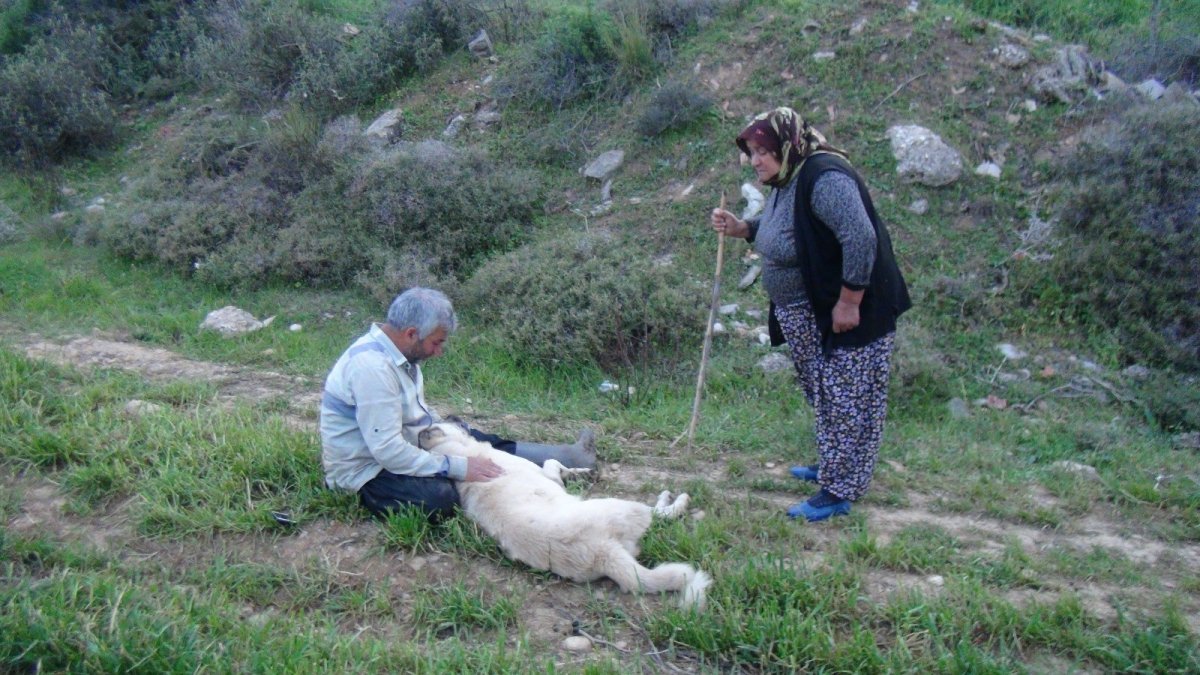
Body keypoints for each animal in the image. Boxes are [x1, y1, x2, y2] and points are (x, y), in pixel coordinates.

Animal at [420, 422, 710, 607]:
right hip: (627, 507)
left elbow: (557, 465)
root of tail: (602, 552)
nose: (456, 416)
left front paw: (579, 472)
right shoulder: (546, 476)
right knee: (661, 514)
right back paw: (676, 500)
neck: (454, 449)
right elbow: (552, 465)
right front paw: (575, 472)